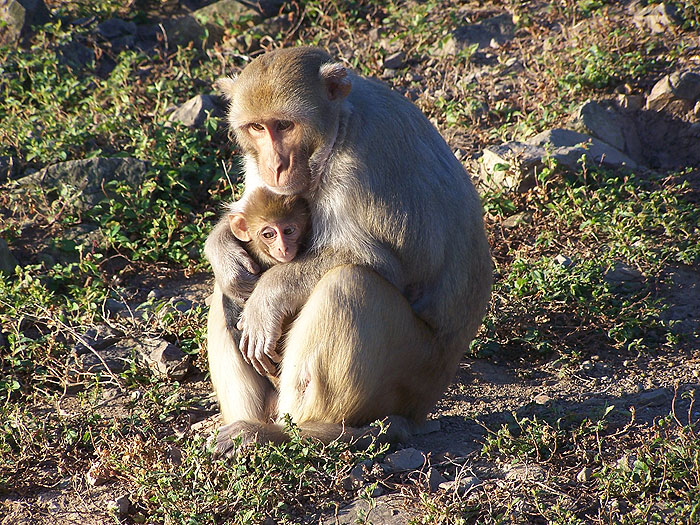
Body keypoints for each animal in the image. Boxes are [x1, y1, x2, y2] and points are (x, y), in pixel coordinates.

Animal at [205, 47, 492, 452]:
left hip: (416, 375)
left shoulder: (357, 165)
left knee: (352, 283)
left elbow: (373, 260)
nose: (275, 165)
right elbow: (244, 222)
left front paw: (268, 297)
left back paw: (293, 433)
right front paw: (223, 251)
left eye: (285, 125)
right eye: (258, 128)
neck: (338, 123)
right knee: (227, 290)